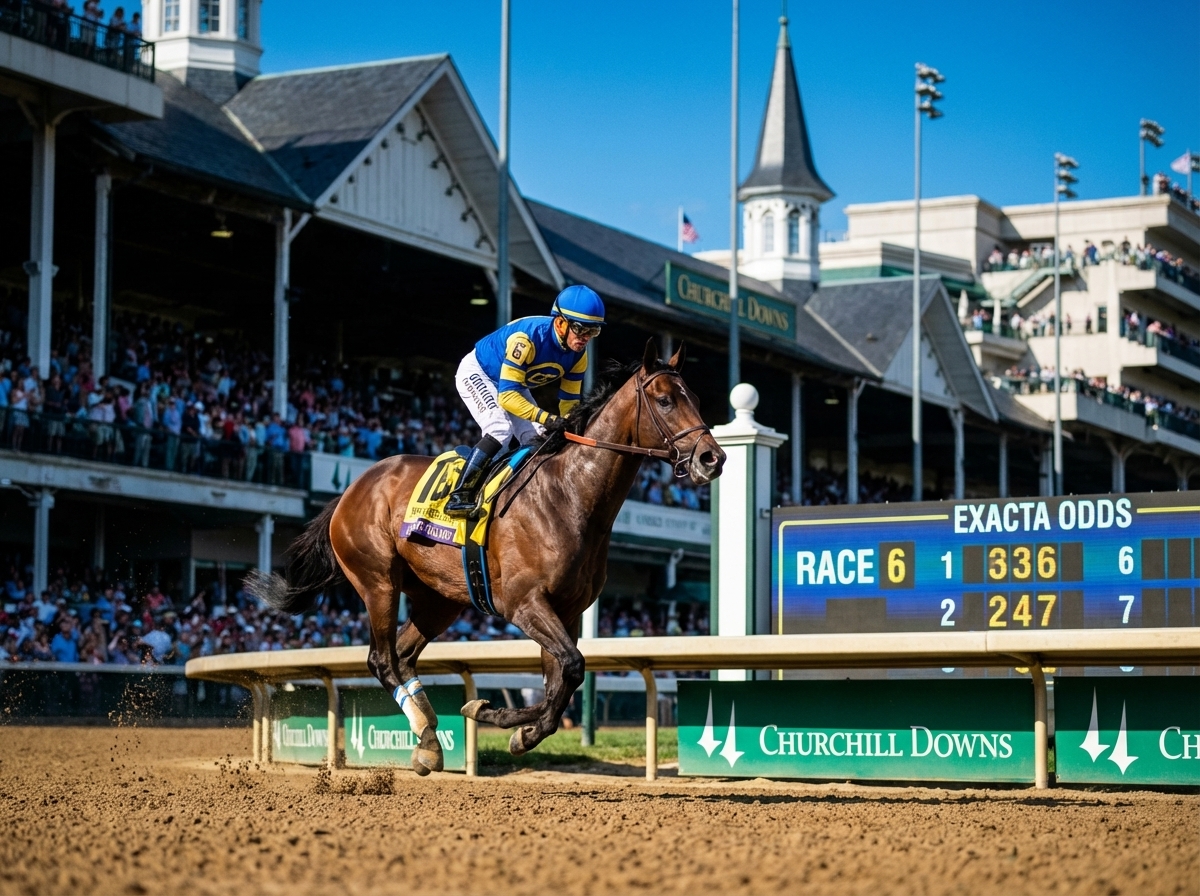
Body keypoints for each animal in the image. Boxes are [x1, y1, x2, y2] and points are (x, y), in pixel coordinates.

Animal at [248, 340, 725, 774]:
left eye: (697, 400)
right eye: (665, 400)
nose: (712, 458)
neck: (568, 495)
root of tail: (352, 489)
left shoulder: (567, 611)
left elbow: (560, 680)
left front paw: (514, 726)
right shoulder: (523, 603)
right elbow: (570, 667)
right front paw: (498, 716)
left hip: (439, 600)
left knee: (402, 656)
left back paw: (427, 738)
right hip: (378, 582)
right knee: (381, 659)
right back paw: (427, 736)